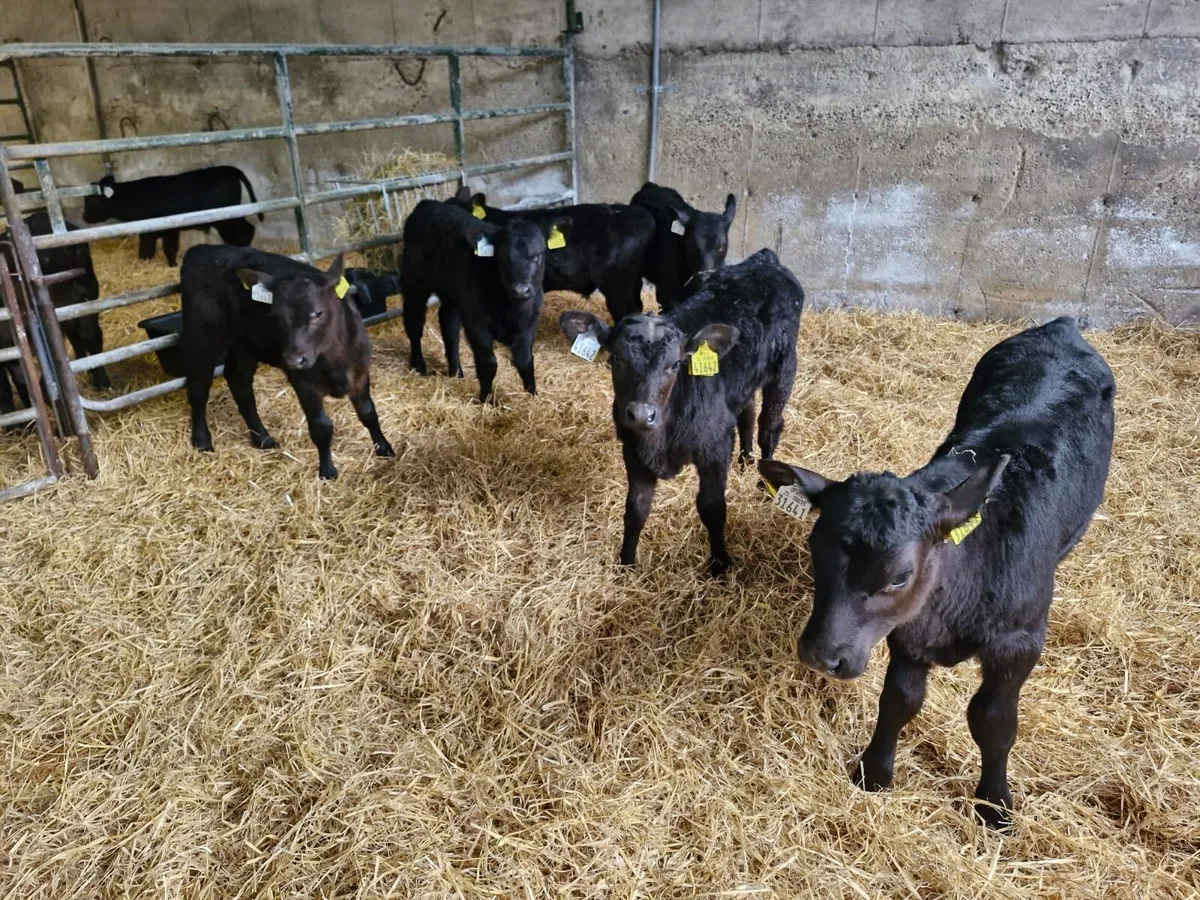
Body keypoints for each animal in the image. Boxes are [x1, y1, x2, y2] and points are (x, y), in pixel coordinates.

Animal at [83, 166, 261, 267]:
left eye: (94, 201)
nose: (84, 217)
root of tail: (229, 169)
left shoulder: (163, 231)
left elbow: (160, 248)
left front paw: (168, 264)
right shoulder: (157, 232)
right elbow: (152, 248)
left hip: (227, 219)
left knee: (245, 231)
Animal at [180, 245, 393, 480]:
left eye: (318, 313)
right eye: (276, 316)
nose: (292, 359)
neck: (333, 359)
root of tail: (201, 249)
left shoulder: (359, 372)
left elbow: (368, 413)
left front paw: (384, 448)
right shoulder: (304, 383)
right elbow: (321, 427)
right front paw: (327, 471)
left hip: (244, 343)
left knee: (239, 381)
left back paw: (262, 438)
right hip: (202, 332)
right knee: (198, 386)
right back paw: (202, 440)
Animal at [401, 199, 549, 403]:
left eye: (538, 255)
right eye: (501, 258)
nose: (520, 290)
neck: (510, 307)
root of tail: (428, 204)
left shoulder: (529, 321)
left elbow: (525, 360)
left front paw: (533, 395)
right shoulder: (476, 321)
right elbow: (488, 363)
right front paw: (486, 400)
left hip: (453, 293)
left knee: (449, 325)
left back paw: (456, 371)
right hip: (414, 282)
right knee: (414, 322)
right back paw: (419, 365)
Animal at [560, 248, 804, 576]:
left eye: (675, 365)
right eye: (616, 359)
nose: (641, 414)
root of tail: (764, 260)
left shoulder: (715, 448)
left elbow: (712, 508)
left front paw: (719, 565)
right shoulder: (633, 450)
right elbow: (635, 509)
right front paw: (626, 564)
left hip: (784, 365)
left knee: (770, 426)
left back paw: (766, 482)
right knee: (747, 411)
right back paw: (745, 459)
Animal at [758, 316, 1115, 829]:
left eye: (900, 576)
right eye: (813, 546)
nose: (820, 656)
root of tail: (1062, 326)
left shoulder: (1020, 641)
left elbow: (993, 720)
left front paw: (994, 804)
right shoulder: (909, 631)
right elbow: (900, 700)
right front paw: (874, 772)